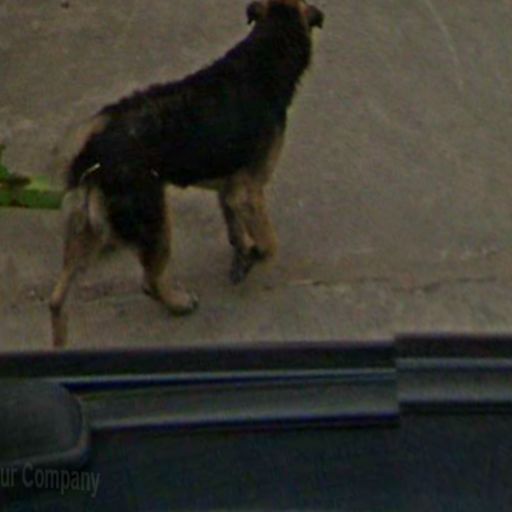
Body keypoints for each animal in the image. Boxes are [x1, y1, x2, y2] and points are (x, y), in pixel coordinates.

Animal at [49, 0, 324, 347]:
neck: (264, 54)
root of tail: (91, 157)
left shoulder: (229, 189)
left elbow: (235, 228)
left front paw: (241, 256)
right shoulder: (249, 189)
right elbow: (268, 241)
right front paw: (256, 254)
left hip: (86, 233)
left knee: (57, 299)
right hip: (154, 222)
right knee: (150, 280)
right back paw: (179, 303)